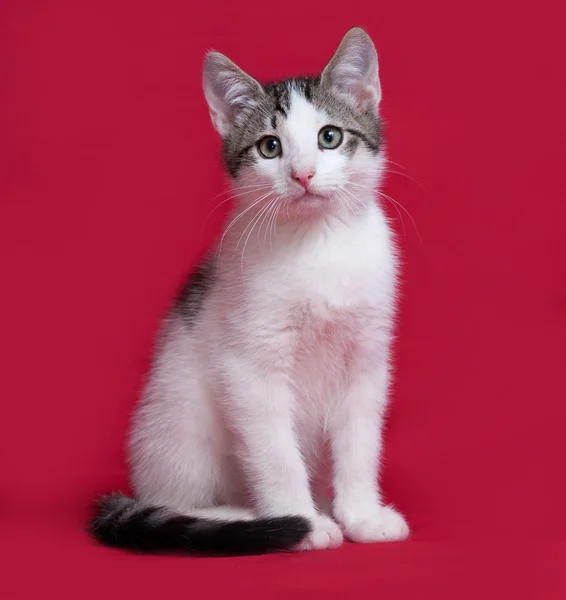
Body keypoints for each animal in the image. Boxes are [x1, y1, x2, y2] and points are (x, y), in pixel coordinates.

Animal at [93, 27, 412, 552]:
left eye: (329, 137)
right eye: (269, 147)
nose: (303, 174)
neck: (316, 243)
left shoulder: (367, 358)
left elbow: (361, 442)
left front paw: (361, 514)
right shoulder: (249, 369)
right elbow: (276, 454)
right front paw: (302, 522)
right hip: (178, 421)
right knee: (173, 503)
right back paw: (241, 516)